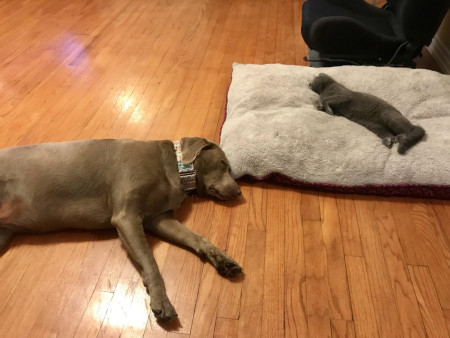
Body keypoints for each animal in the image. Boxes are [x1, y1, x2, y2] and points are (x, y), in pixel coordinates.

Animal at [0, 137, 243, 322]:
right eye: (223, 163)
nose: (240, 192)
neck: (175, 170)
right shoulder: (126, 216)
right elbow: (150, 262)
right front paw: (161, 301)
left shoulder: (159, 218)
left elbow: (197, 238)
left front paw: (223, 260)